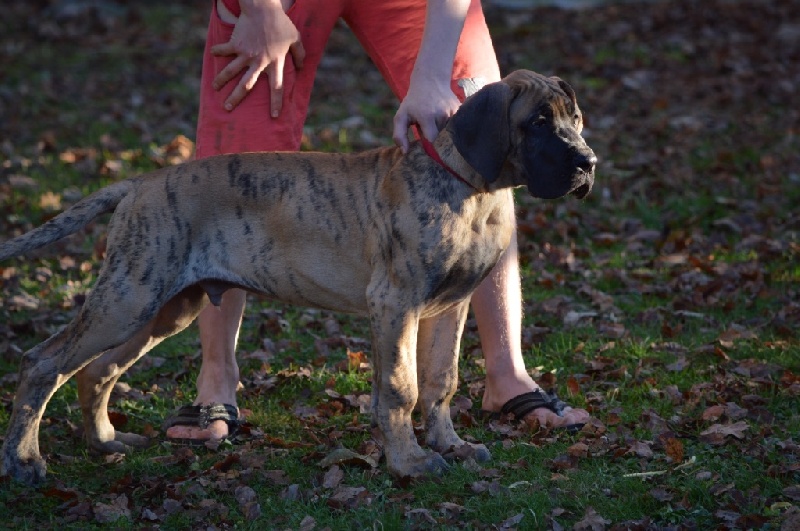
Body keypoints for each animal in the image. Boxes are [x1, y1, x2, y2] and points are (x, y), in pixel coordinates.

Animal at [0, 68, 592, 484]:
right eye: (538, 122)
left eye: (574, 119)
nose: (587, 162)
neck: (470, 187)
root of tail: (138, 183)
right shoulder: (394, 303)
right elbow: (400, 387)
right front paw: (409, 464)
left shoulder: (450, 306)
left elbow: (440, 381)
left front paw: (451, 446)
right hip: (129, 297)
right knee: (42, 363)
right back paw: (25, 463)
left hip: (164, 305)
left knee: (96, 371)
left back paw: (105, 443)